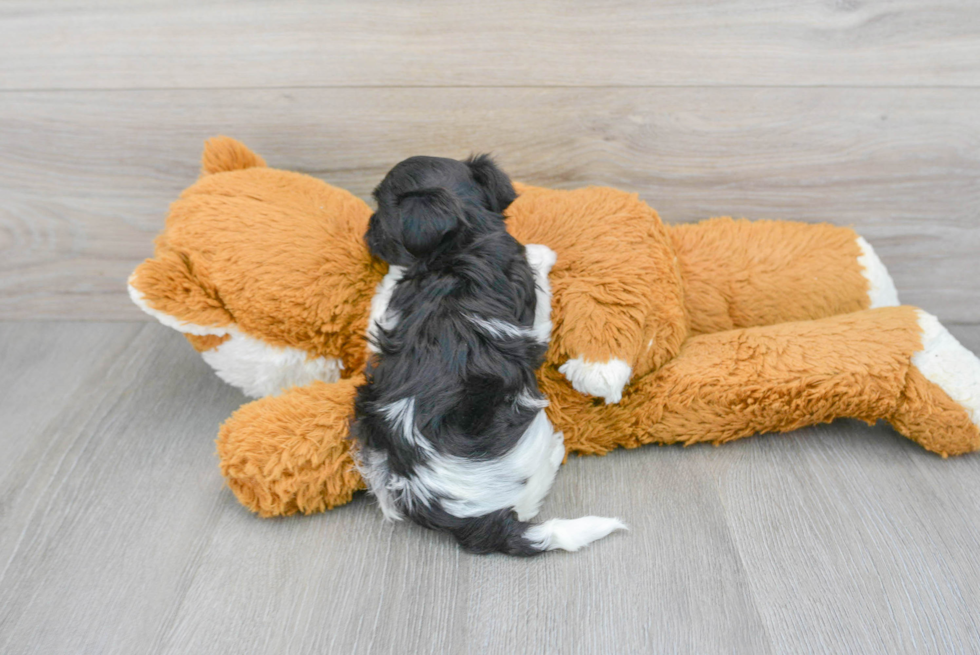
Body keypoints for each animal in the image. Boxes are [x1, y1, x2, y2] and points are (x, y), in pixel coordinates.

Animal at [356, 155, 624, 560]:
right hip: (531, 436)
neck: (465, 241)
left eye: (380, 213)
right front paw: (544, 253)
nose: (366, 231)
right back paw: (558, 448)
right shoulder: (534, 311)